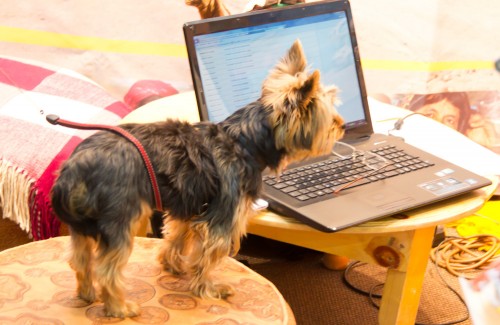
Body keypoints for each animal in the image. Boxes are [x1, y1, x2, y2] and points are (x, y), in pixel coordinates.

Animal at [51, 39, 344, 316]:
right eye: (329, 120)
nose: (341, 125)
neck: (245, 140)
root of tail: (74, 166)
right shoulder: (222, 217)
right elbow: (208, 257)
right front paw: (208, 288)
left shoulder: (191, 206)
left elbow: (178, 237)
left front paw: (173, 265)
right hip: (119, 217)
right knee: (107, 269)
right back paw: (119, 308)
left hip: (85, 225)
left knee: (80, 258)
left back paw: (87, 293)